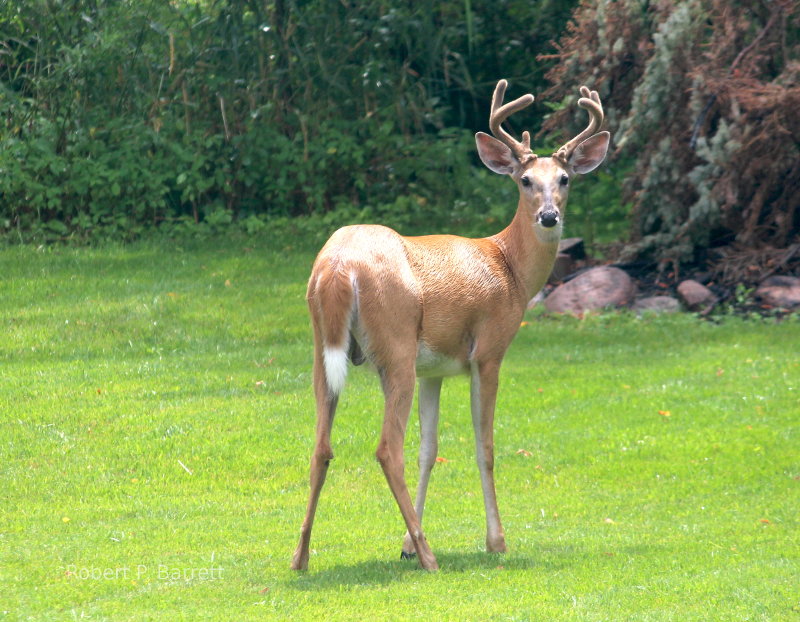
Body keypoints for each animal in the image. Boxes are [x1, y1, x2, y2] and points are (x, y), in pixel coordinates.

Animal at [290, 80, 608, 572]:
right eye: (525, 180)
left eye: (565, 179)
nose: (549, 216)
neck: (510, 268)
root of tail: (338, 268)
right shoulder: (489, 350)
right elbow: (485, 446)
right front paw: (496, 541)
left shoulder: (434, 370)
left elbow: (429, 450)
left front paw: (405, 541)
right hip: (396, 346)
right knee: (387, 449)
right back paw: (429, 557)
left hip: (322, 350)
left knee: (321, 447)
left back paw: (302, 556)